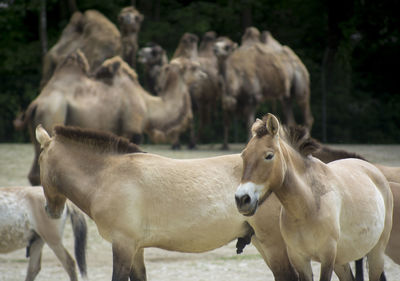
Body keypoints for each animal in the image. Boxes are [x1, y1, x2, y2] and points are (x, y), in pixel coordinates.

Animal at [18, 50, 200, 185]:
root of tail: (36, 104)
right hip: (52, 114)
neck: (147, 104)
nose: (202, 70)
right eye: (191, 67)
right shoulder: (133, 130)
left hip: (37, 132)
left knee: (34, 174)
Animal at [34, 124, 298, 280]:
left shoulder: (122, 245)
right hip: (263, 243)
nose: (50, 210)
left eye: (39, 162)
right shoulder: (135, 249)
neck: (108, 176)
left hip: (273, 245)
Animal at [236, 113, 392, 280]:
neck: (306, 206)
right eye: (243, 155)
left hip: (376, 254)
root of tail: (373, 169)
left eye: (269, 156)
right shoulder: (300, 258)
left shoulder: (327, 257)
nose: (242, 199)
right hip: (341, 262)